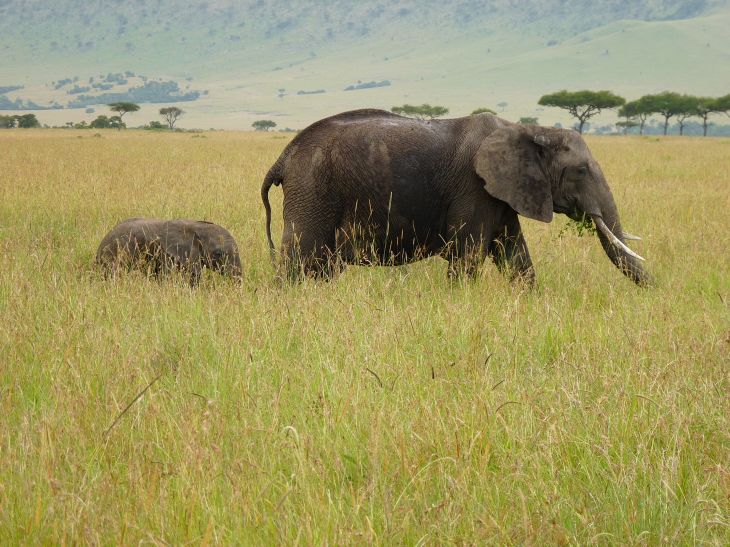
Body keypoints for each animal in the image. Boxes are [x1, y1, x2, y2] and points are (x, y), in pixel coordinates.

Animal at [261, 109, 649, 286]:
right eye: (580, 171)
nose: (653, 290)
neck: (527, 131)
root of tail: (283, 157)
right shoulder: (474, 188)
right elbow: (468, 256)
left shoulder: (502, 193)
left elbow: (515, 256)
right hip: (313, 191)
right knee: (299, 260)